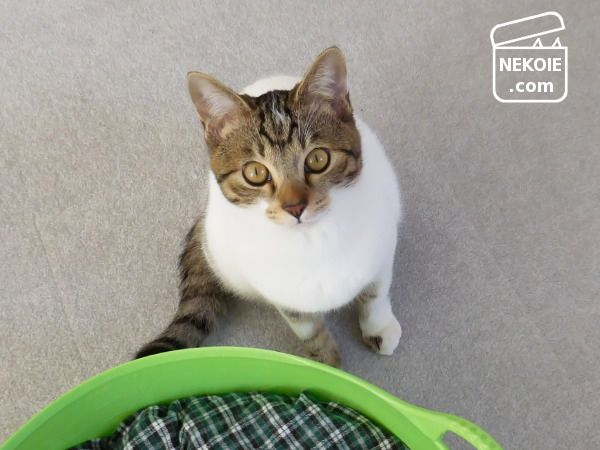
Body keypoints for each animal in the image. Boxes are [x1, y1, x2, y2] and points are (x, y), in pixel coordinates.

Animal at [136, 47, 402, 367]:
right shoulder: (283, 295)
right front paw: (326, 364)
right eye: (255, 173)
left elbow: (375, 295)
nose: (295, 207)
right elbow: (309, 330)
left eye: (317, 159)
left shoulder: (382, 246)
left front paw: (378, 327)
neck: (313, 241)